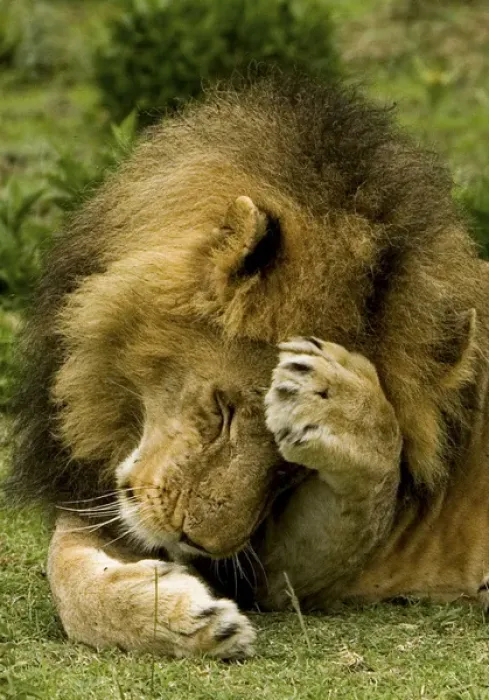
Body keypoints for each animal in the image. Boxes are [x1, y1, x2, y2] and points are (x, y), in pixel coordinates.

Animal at [5, 72, 489, 659]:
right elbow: (67, 577)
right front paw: (183, 620)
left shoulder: (288, 575)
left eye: (290, 471)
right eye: (223, 410)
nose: (198, 543)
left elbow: (375, 472)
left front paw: (341, 396)